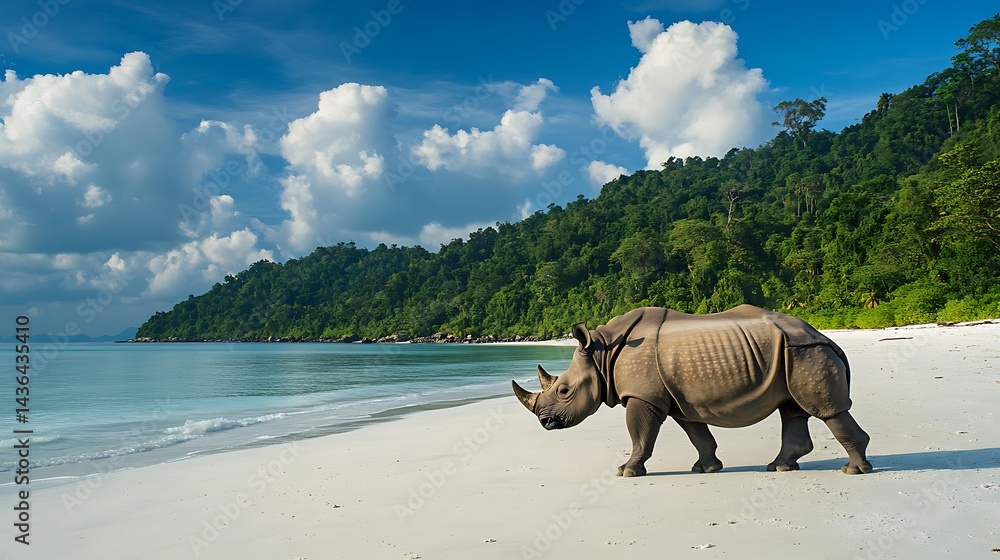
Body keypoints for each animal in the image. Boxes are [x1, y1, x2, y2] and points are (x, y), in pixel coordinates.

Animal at [512, 305, 872, 476]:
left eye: (564, 391)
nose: (545, 421)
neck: (602, 353)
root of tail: (826, 337)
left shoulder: (642, 396)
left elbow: (639, 435)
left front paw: (626, 472)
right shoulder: (680, 399)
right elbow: (697, 433)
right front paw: (706, 469)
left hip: (806, 353)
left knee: (825, 410)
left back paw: (853, 471)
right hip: (795, 354)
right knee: (793, 408)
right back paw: (780, 468)